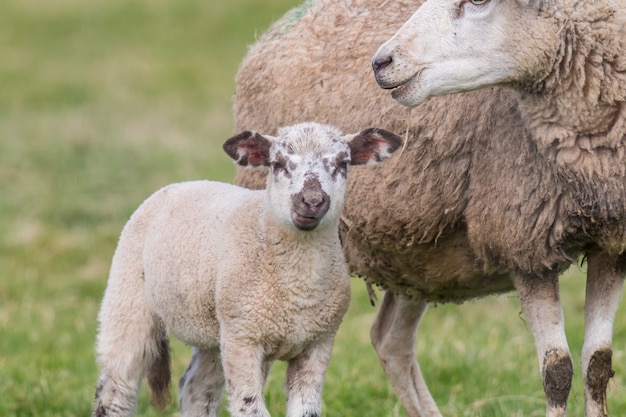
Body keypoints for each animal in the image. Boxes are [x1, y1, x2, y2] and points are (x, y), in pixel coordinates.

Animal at [91, 121, 402, 416]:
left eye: (342, 164)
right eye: (277, 164)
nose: (312, 201)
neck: (298, 291)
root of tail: (180, 185)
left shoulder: (318, 343)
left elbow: (305, 410)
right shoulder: (244, 339)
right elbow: (250, 408)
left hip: (216, 332)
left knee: (196, 389)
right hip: (128, 300)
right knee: (115, 390)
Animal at [232, 0, 624, 416]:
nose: (381, 61)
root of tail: (269, 36)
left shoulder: (611, 246)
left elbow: (597, 364)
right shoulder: (524, 244)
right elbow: (557, 371)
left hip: (414, 257)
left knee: (390, 339)